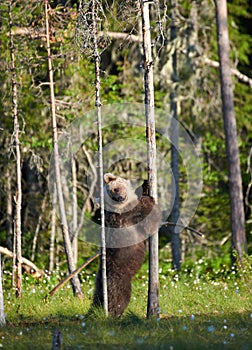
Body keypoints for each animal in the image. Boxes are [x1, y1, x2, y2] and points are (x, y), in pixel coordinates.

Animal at [91, 173, 160, 318]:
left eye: (118, 188)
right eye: (114, 190)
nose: (120, 197)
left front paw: (146, 185)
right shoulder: (129, 218)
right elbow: (150, 219)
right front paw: (149, 199)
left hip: (99, 281)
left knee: (97, 296)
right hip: (119, 277)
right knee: (119, 296)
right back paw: (113, 313)